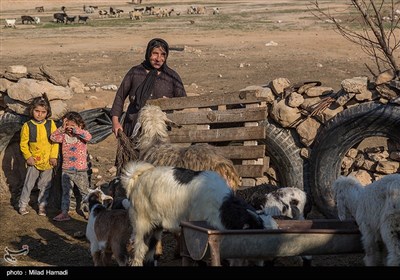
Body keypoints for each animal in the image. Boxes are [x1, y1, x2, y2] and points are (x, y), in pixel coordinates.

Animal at [121, 161, 278, 266]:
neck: (220, 207)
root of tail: (136, 178)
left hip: (157, 226)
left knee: (150, 250)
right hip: (141, 223)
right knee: (140, 249)